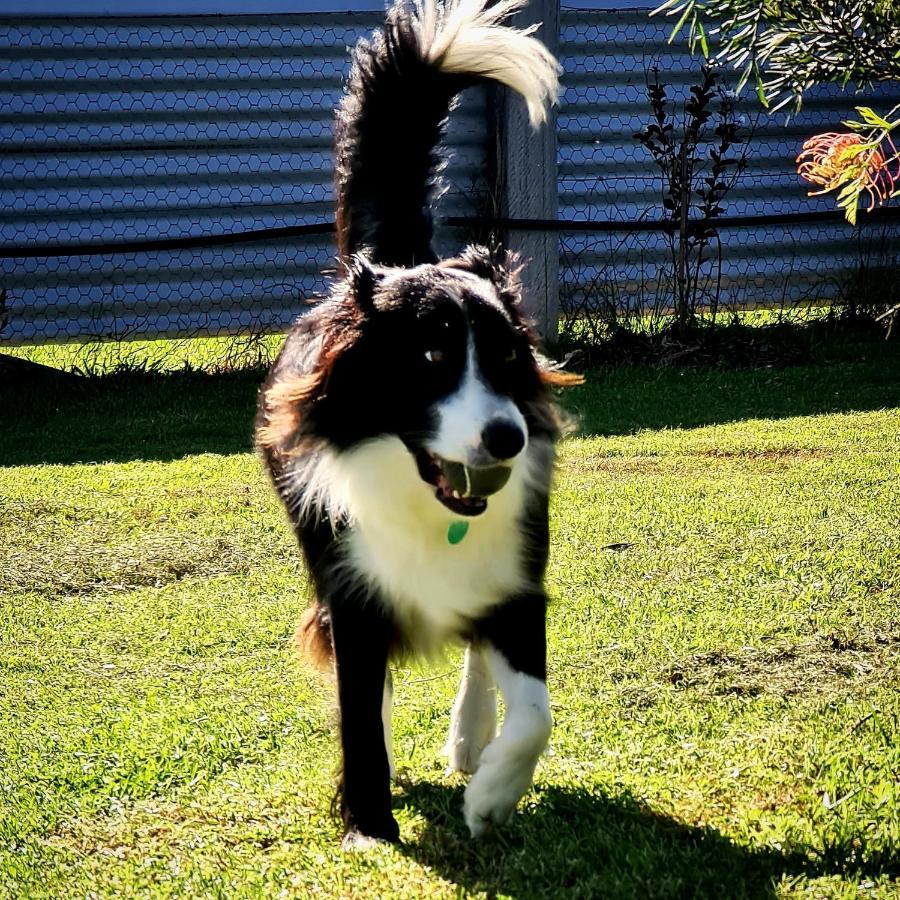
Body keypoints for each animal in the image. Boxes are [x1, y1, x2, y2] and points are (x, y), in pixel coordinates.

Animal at [255, 0, 576, 848]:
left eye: (507, 356)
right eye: (431, 356)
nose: (508, 438)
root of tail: (394, 259)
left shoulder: (517, 579)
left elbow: (536, 712)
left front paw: (492, 794)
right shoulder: (352, 593)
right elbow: (359, 709)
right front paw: (369, 823)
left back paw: (470, 737)